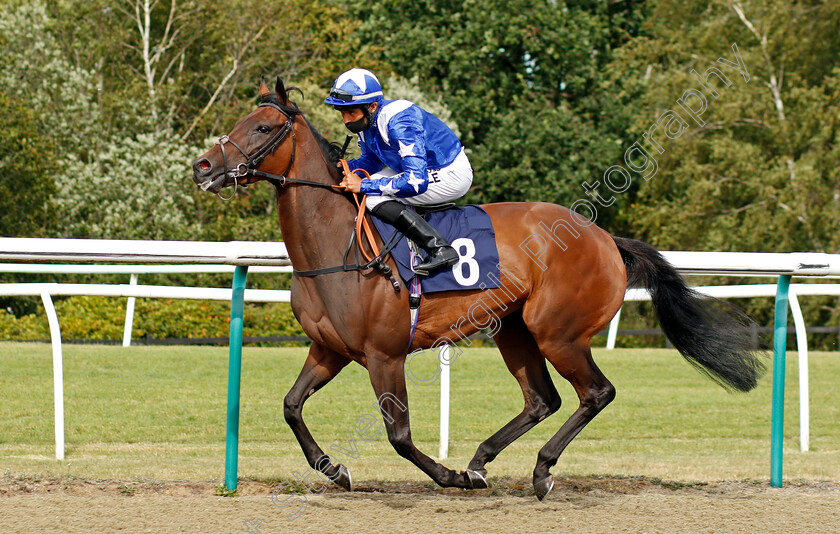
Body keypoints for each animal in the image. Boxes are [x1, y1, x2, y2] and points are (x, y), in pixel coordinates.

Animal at [192, 76, 768, 502]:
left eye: (263, 126)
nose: (203, 166)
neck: (337, 247)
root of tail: (604, 237)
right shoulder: (329, 349)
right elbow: (291, 406)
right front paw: (333, 468)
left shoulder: (384, 354)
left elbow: (399, 436)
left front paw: (447, 477)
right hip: (513, 328)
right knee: (542, 399)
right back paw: (481, 461)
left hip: (557, 332)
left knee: (595, 393)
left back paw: (538, 471)